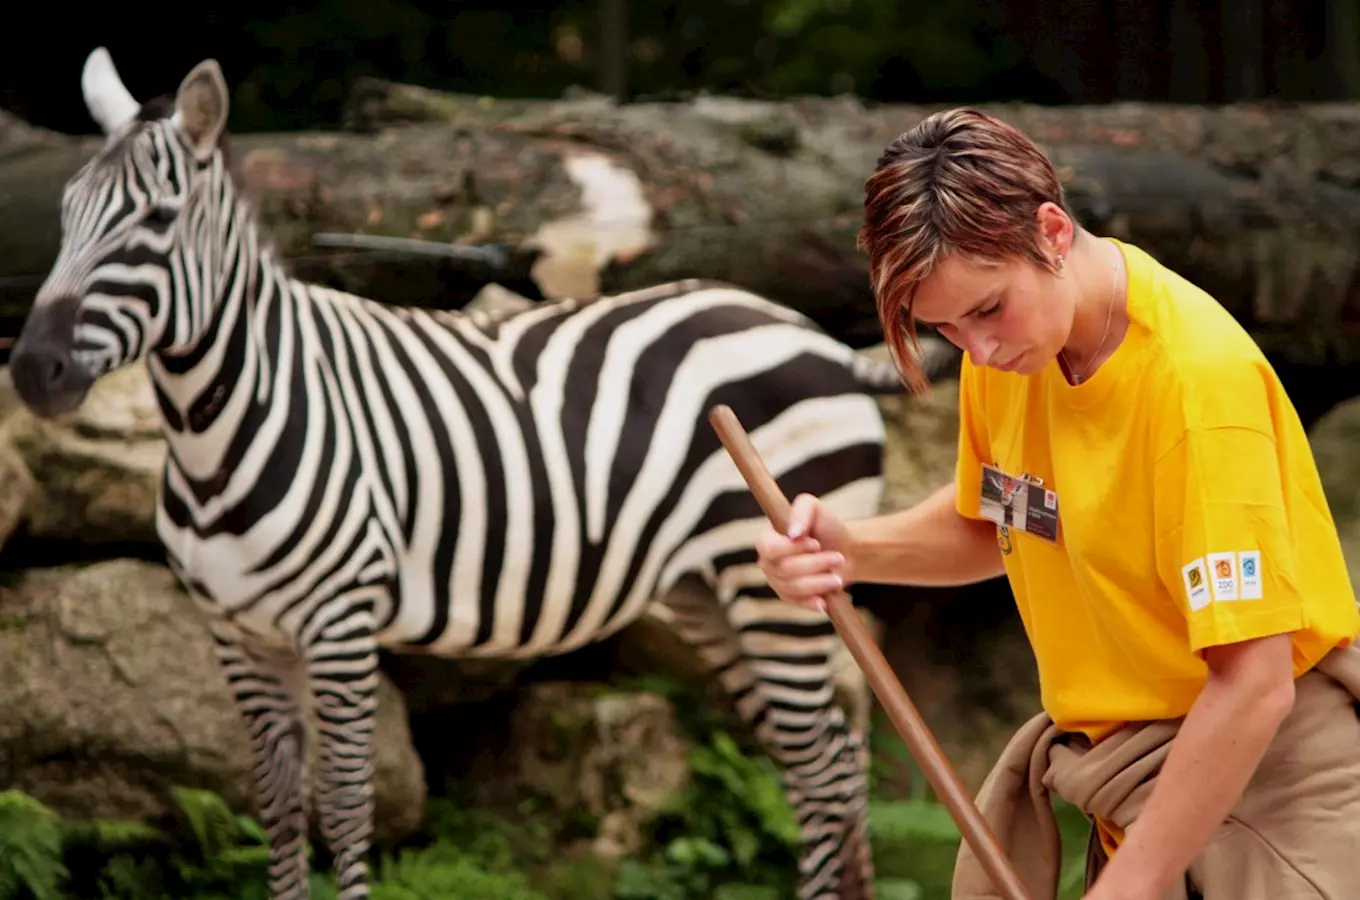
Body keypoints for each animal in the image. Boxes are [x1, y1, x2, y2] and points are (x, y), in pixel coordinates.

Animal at [13, 49, 957, 900]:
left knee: (824, 770)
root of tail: (819, 338)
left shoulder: (340, 622)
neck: (225, 431)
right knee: (827, 761)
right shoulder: (238, 633)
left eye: (157, 220)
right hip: (711, 592)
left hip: (775, 596)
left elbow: (344, 807)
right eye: (63, 213)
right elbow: (278, 810)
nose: (31, 369)